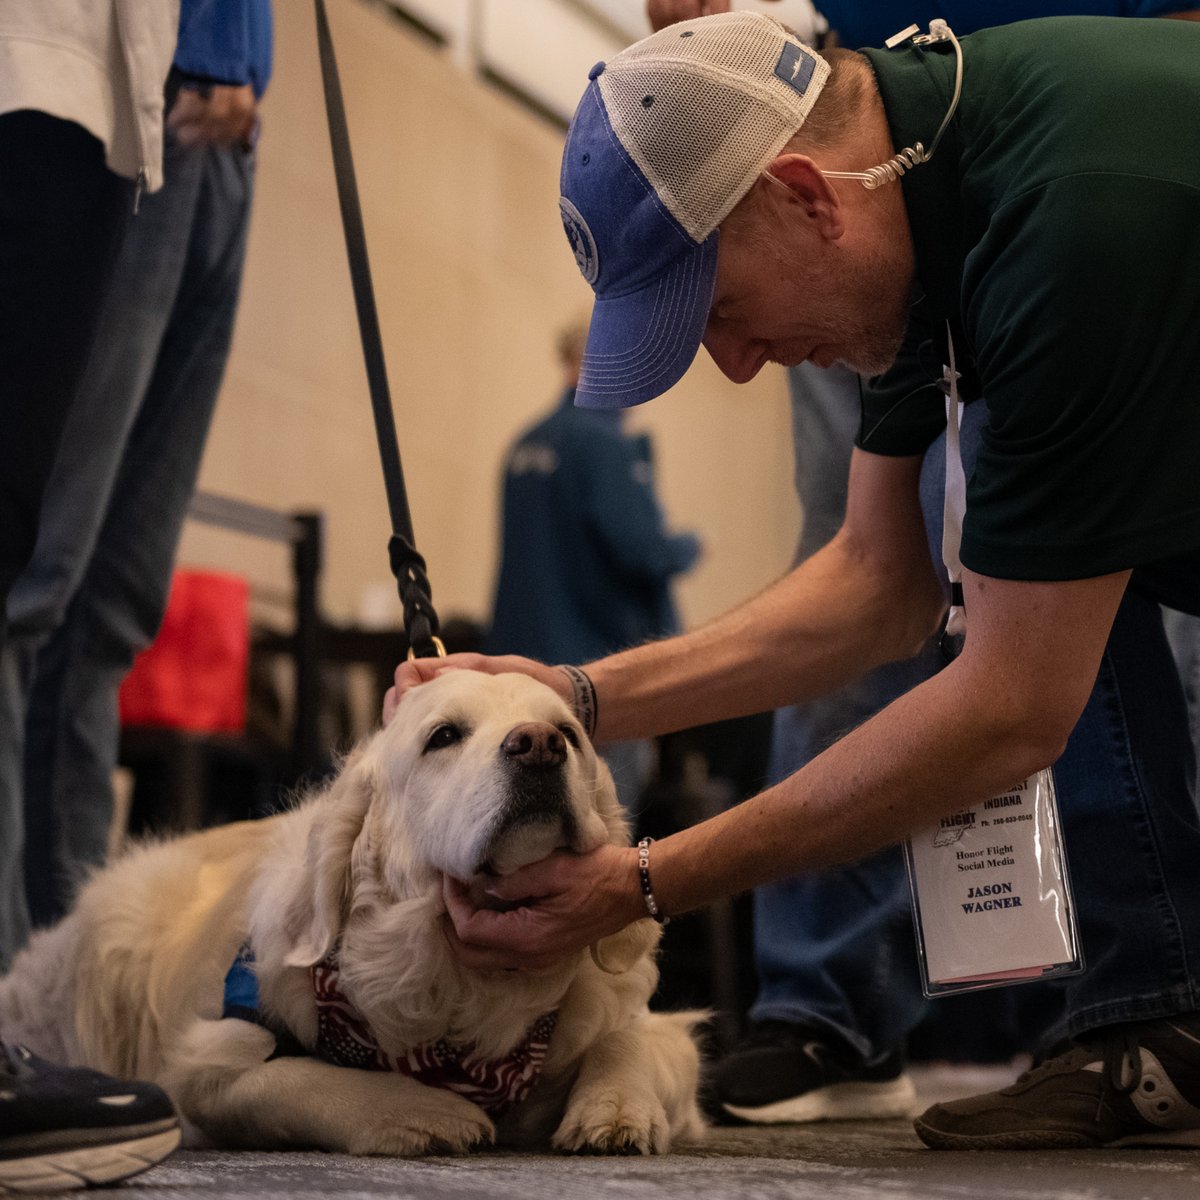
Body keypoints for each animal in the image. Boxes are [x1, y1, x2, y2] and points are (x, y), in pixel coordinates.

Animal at [0, 676, 705, 1152]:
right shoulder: (201, 1062)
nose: (538, 746)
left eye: (570, 733)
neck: (458, 986)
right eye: (444, 736)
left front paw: (616, 1110)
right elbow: (286, 1082)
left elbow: (633, 1040)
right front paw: (421, 1113)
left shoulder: (641, 1024)